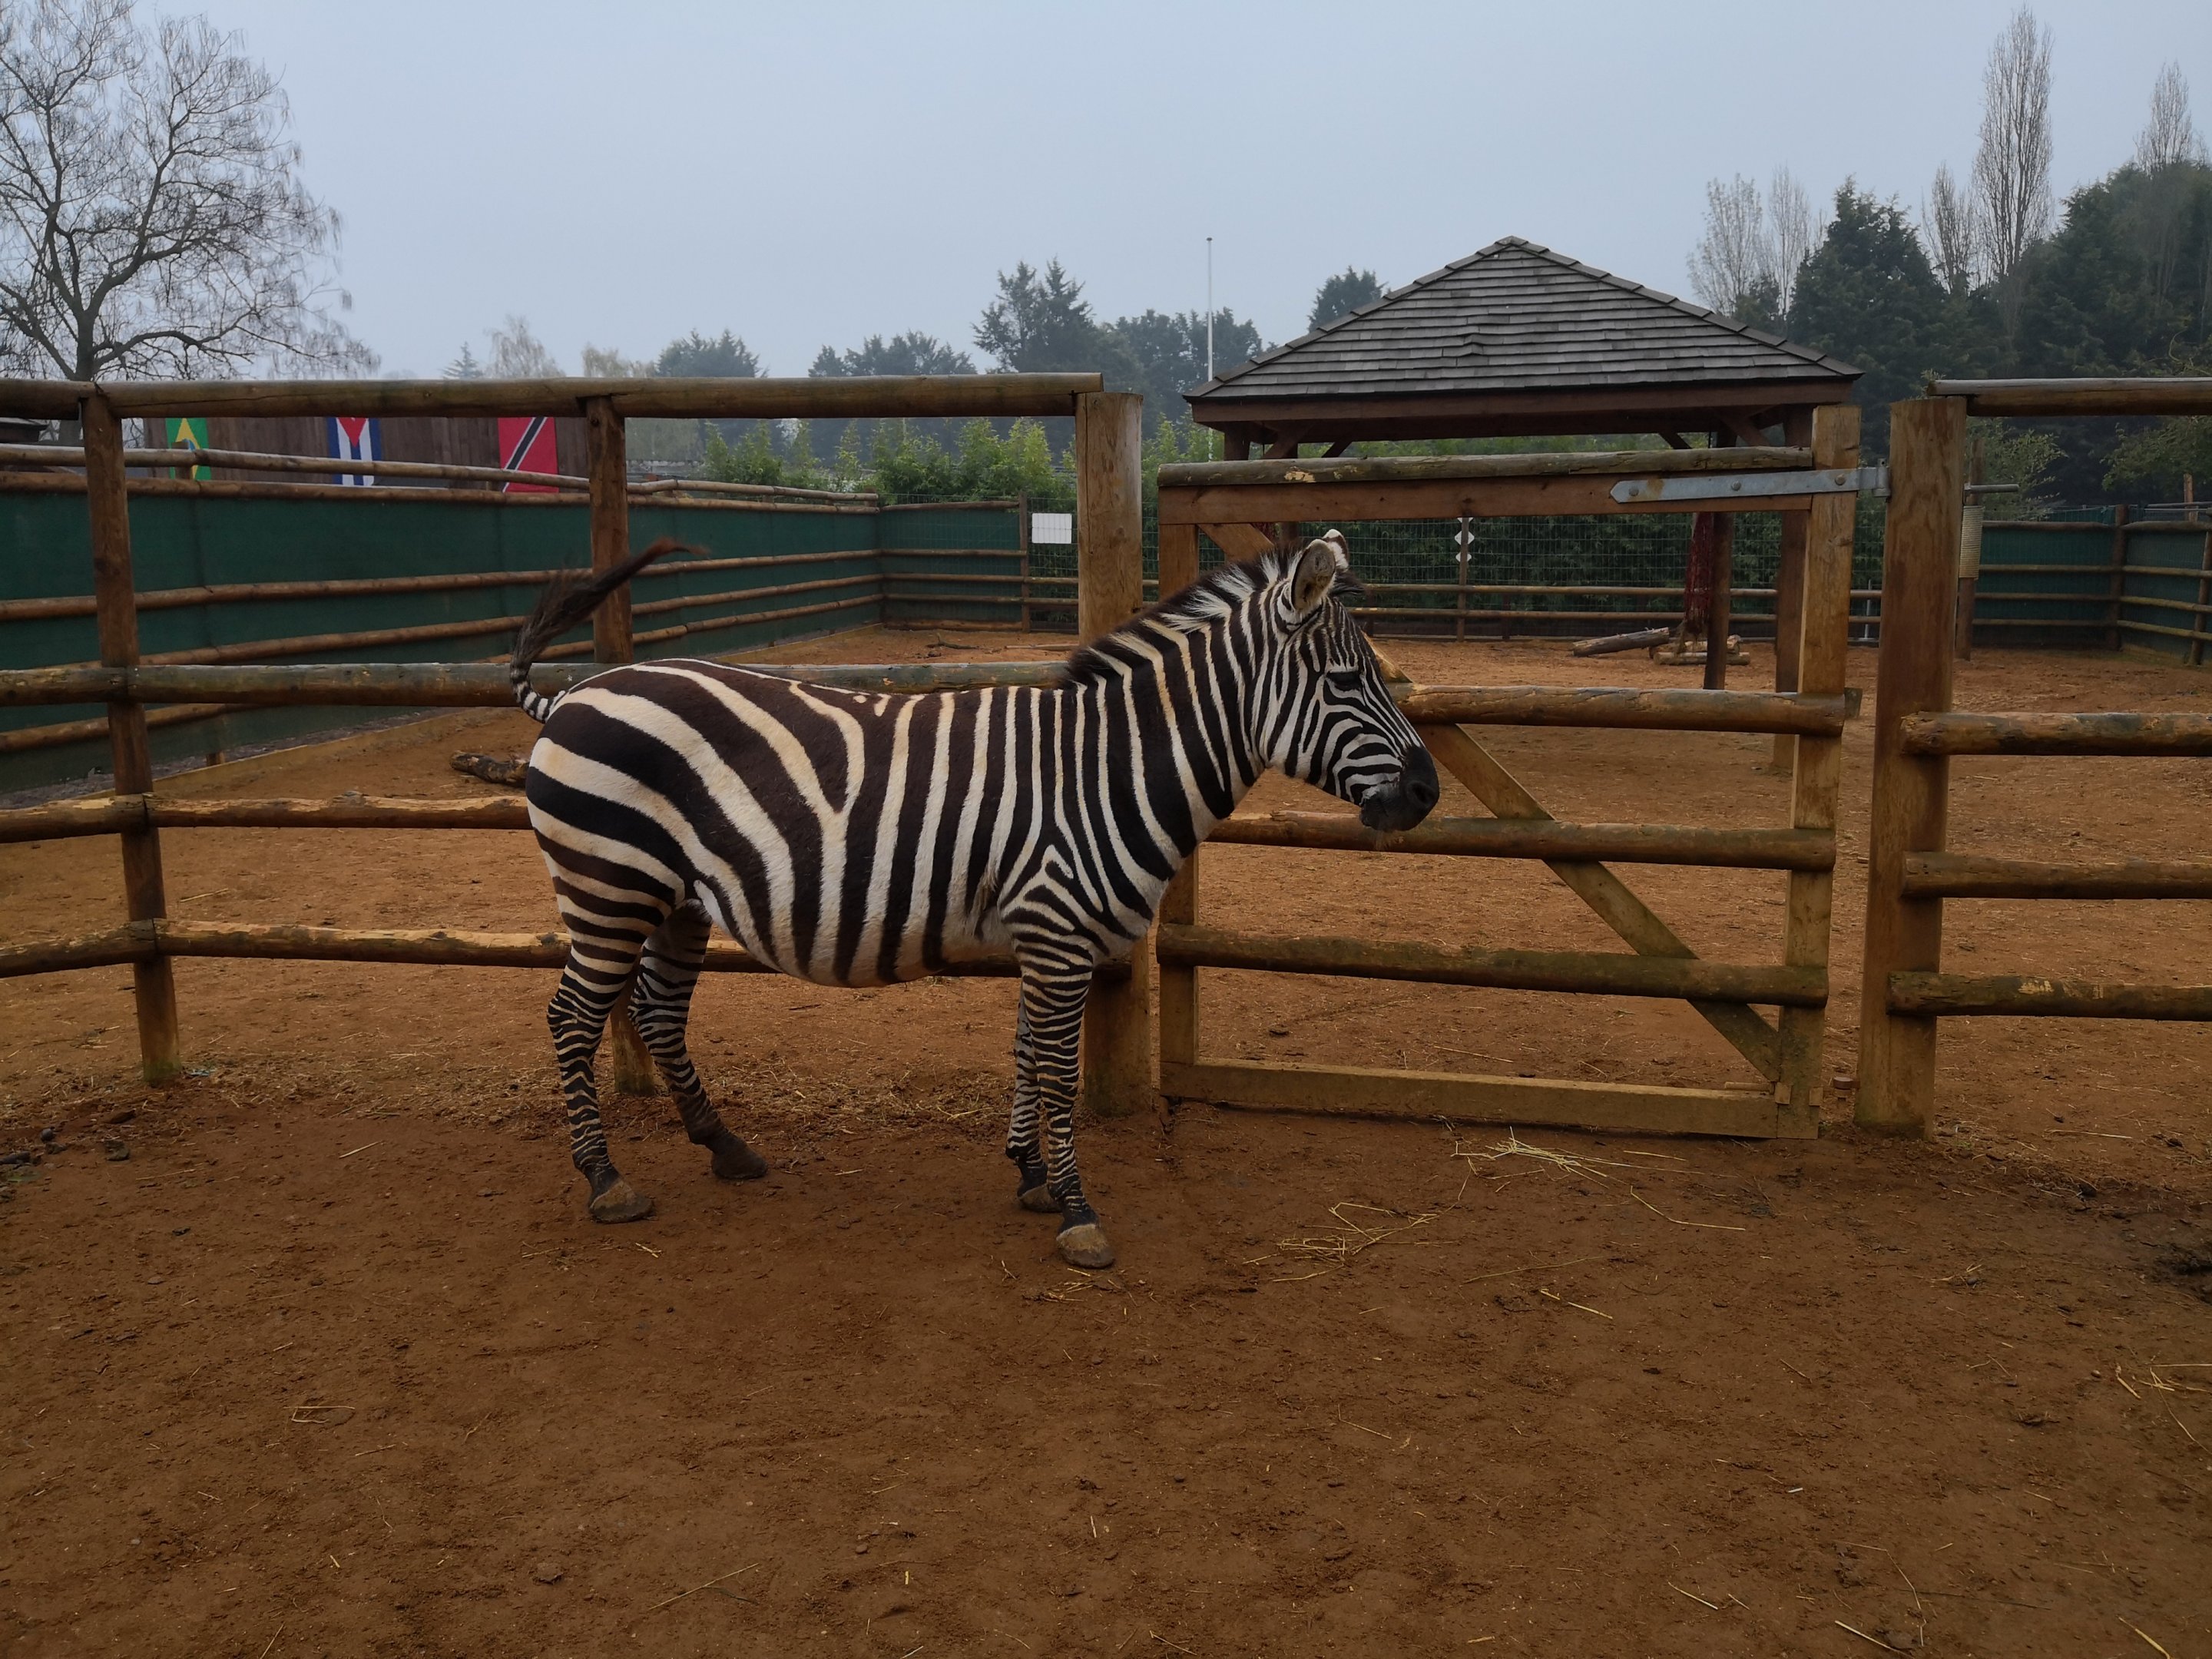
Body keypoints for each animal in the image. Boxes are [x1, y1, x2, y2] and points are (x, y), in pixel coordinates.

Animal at [511, 530, 1438, 1268]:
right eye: (1347, 680)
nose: (1427, 794)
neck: (1110, 768)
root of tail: (574, 692)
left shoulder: (1045, 933)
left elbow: (1027, 1052)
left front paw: (1031, 1175)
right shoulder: (1060, 932)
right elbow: (1059, 1069)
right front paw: (1077, 1212)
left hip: (677, 901)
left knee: (658, 1010)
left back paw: (726, 1147)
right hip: (608, 886)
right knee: (573, 1017)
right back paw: (604, 1179)